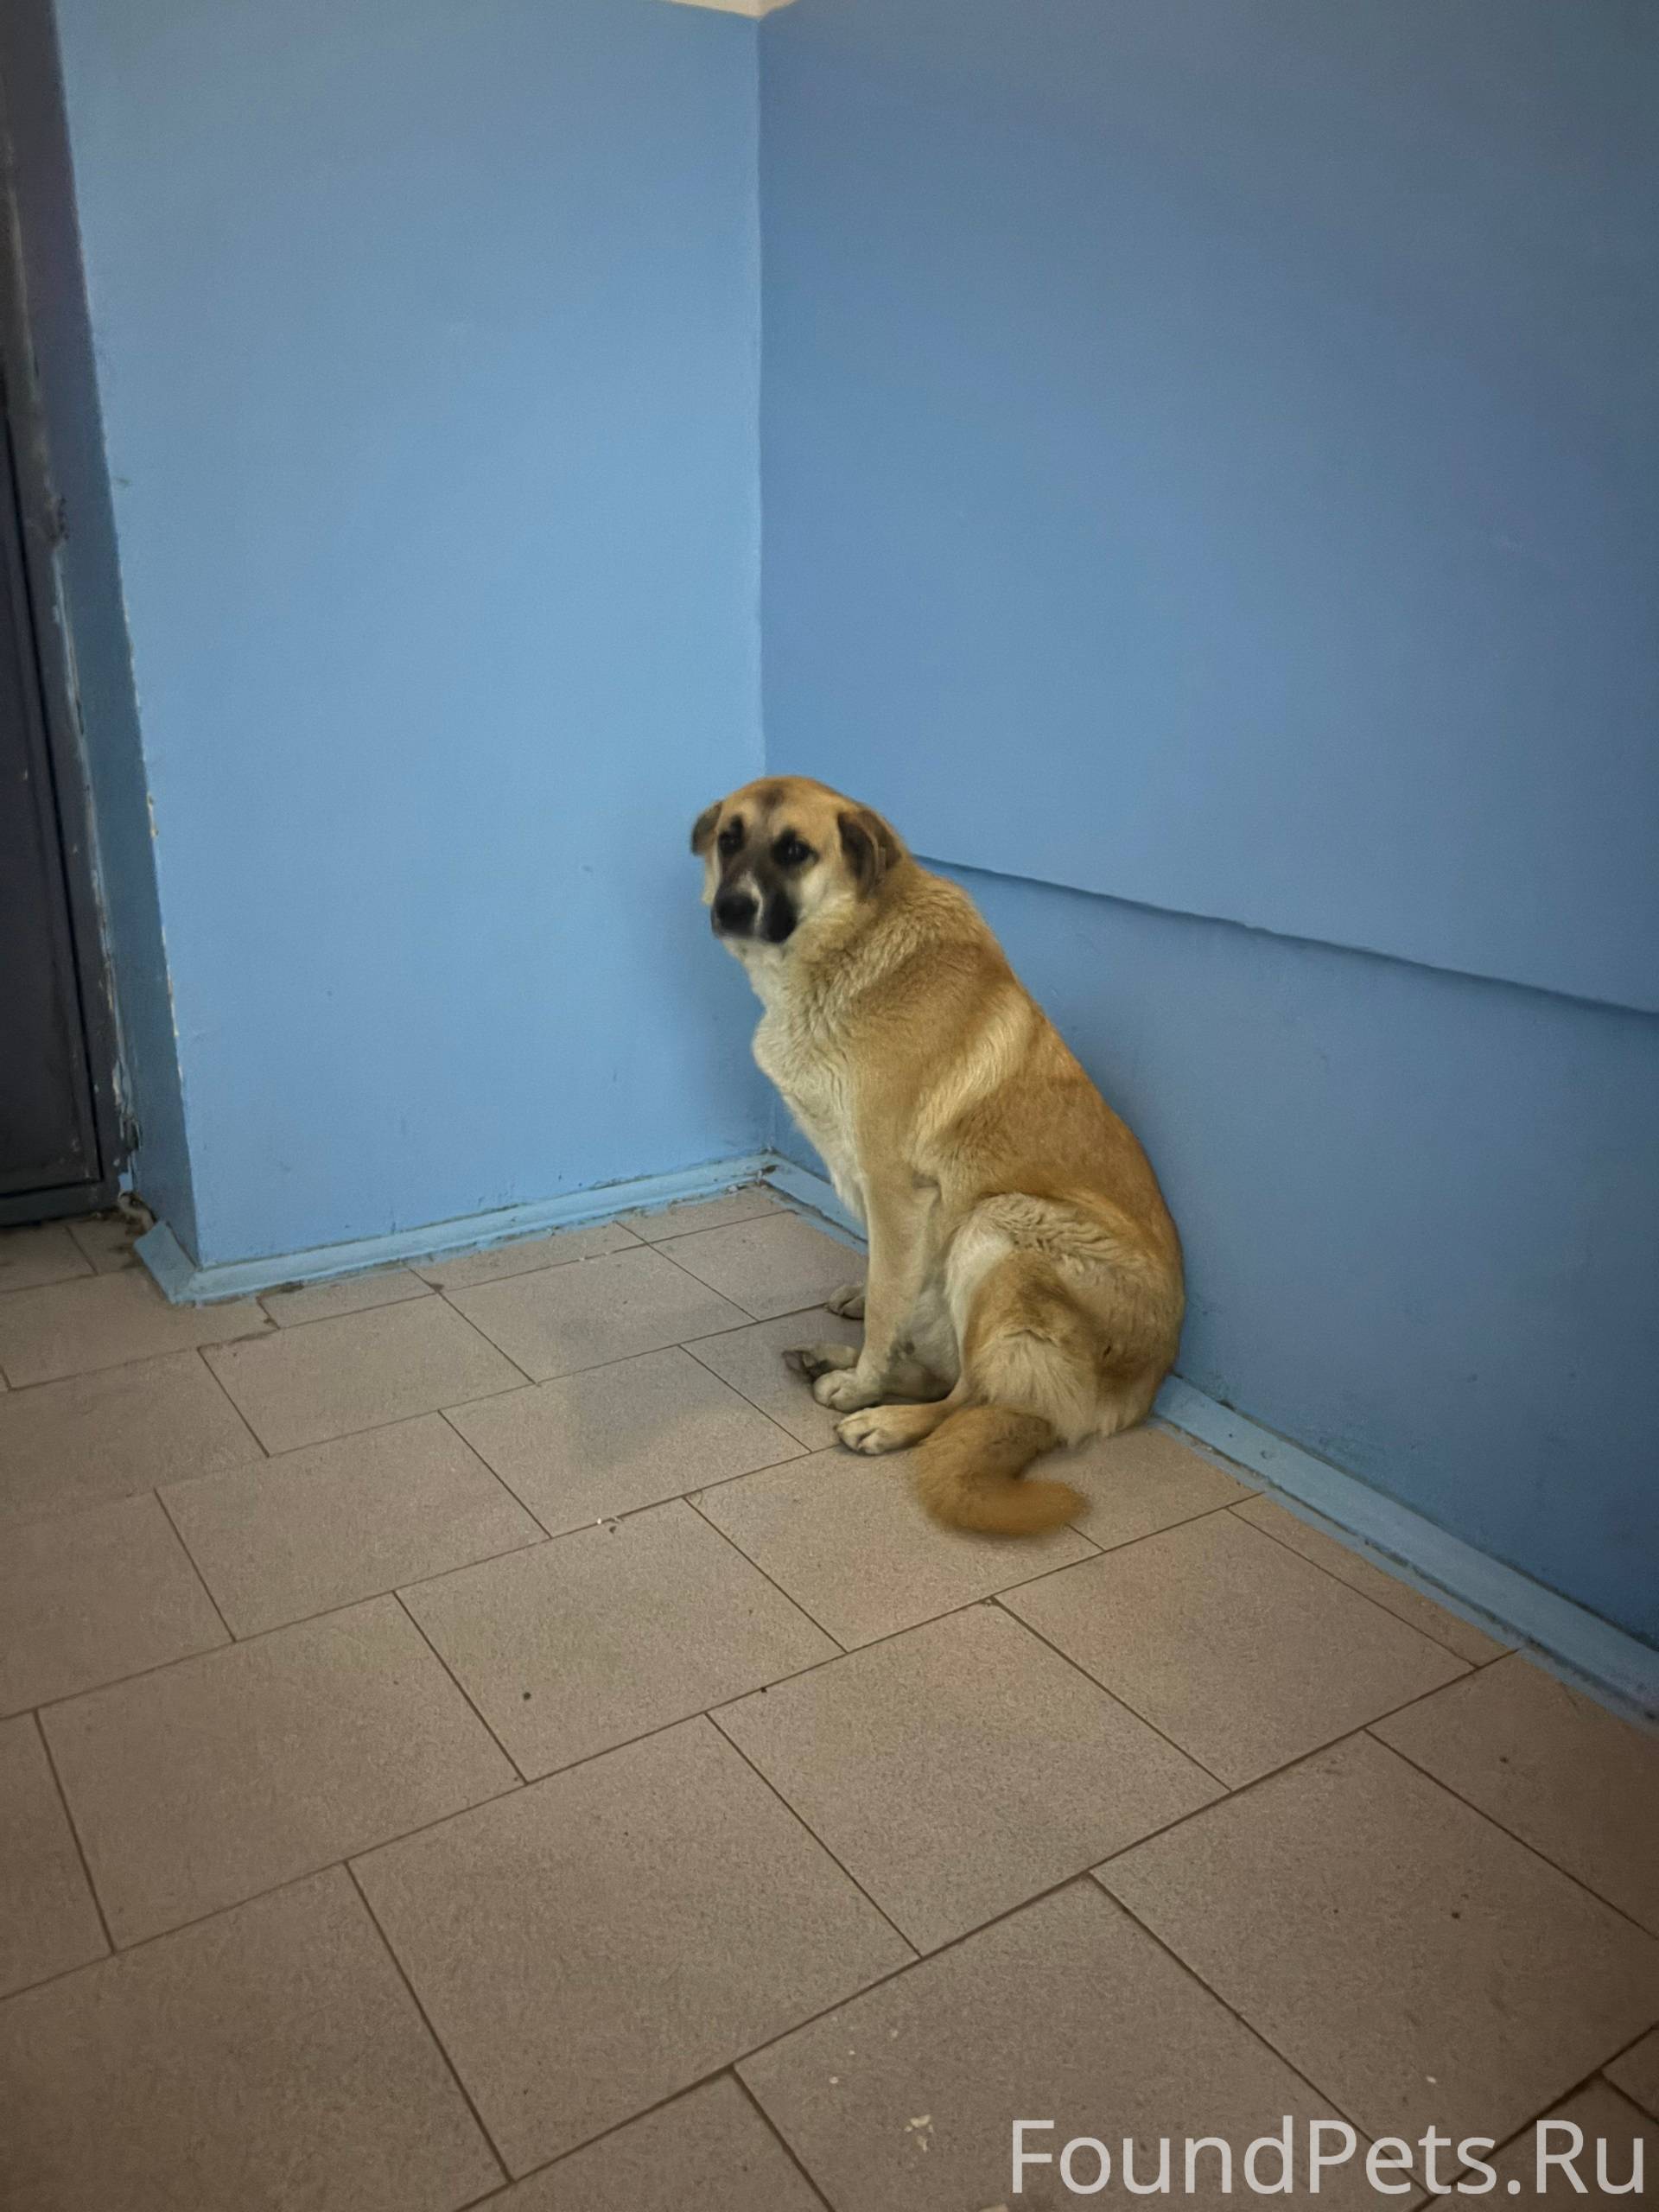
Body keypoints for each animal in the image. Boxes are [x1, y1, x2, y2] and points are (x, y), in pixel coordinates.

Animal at [693, 776, 1184, 1534]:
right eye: (729, 839)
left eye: (795, 851)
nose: (731, 907)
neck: (850, 947)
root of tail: (1144, 1387)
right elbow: (888, 1282)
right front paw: (864, 1317)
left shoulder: (898, 1189)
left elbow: (890, 1297)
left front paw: (864, 1380)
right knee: (949, 1374)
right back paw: (837, 1360)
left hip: (1000, 1226)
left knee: (971, 1396)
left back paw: (883, 1415)